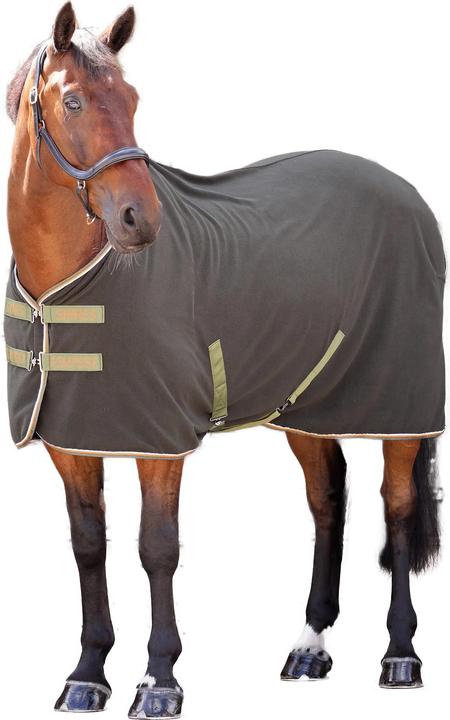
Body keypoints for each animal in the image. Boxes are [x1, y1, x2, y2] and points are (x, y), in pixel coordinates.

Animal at [5, 3, 445, 718]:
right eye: (72, 100)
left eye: (133, 99)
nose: (139, 219)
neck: (63, 288)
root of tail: (409, 195)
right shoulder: (71, 442)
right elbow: (88, 546)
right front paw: (87, 674)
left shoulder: (159, 442)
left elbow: (157, 548)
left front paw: (159, 681)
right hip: (309, 404)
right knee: (328, 500)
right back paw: (310, 646)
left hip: (397, 404)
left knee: (398, 509)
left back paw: (400, 655)